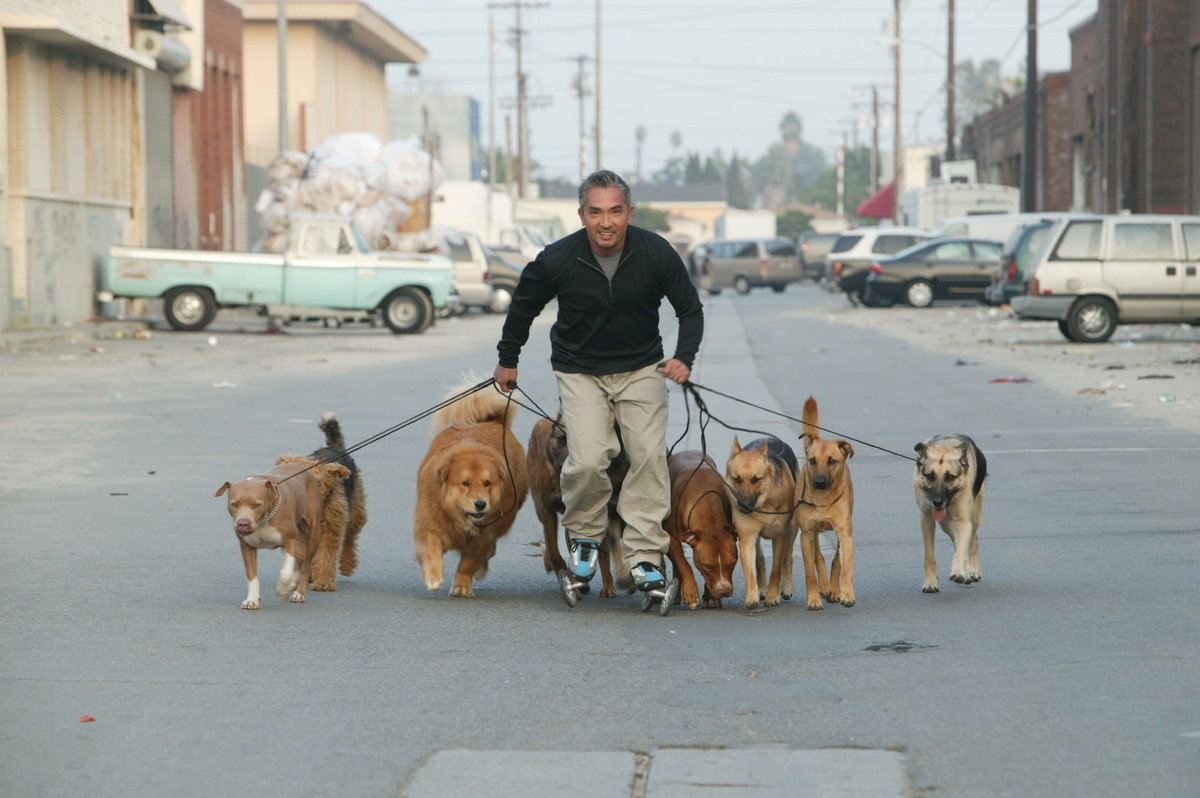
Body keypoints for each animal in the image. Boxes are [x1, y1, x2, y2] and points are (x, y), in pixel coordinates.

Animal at [214, 453, 350, 609]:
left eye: (257, 504)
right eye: (234, 504)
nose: (243, 524)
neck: (263, 520)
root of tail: (312, 476)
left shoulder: (290, 540)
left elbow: (286, 572)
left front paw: (283, 589)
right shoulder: (247, 546)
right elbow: (252, 575)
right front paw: (252, 599)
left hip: (313, 534)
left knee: (306, 566)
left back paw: (299, 593)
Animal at [415, 379, 528, 597]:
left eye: (487, 483)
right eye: (465, 483)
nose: (480, 504)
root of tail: (493, 421)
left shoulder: (483, 539)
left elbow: (468, 563)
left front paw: (461, 585)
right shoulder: (427, 525)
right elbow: (430, 547)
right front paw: (433, 576)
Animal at [720, 432, 796, 607]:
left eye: (756, 479)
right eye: (737, 479)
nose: (743, 505)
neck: (763, 503)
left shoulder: (780, 536)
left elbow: (776, 568)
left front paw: (773, 596)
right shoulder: (747, 538)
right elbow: (749, 570)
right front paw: (752, 596)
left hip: (792, 528)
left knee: (788, 556)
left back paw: (787, 586)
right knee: (760, 558)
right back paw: (761, 588)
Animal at [792, 396, 859, 609]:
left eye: (832, 461)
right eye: (813, 460)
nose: (819, 482)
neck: (823, 500)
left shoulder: (845, 535)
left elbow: (843, 566)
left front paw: (845, 593)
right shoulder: (806, 534)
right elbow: (810, 572)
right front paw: (814, 598)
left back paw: (834, 589)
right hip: (810, 534)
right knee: (818, 556)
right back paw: (824, 586)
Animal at [912, 429, 988, 590]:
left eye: (950, 477)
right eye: (930, 476)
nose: (938, 502)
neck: (944, 446)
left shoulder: (963, 521)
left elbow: (962, 547)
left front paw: (959, 571)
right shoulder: (927, 518)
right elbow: (929, 555)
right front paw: (930, 582)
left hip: (974, 516)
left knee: (973, 539)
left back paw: (972, 570)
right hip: (945, 523)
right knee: (956, 539)